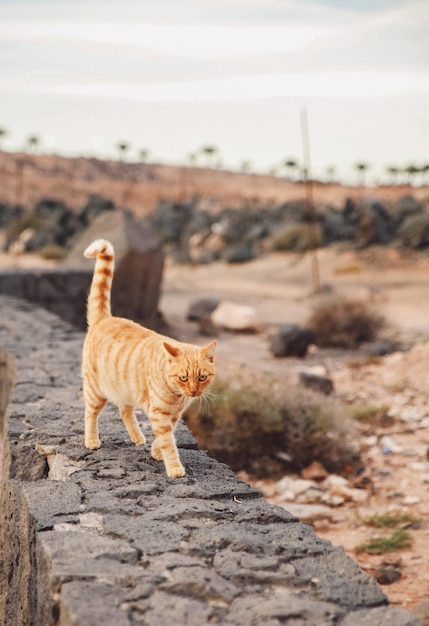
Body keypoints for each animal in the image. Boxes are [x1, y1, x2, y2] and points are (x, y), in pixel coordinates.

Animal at [80, 236, 216, 476]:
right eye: (183, 378)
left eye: (202, 377)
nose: (193, 391)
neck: (177, 396)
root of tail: (105, 318)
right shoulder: (160, 413)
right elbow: (168, 442)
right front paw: (174, 467)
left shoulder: (173, 415)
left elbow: (166, 436)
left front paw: (155, 451)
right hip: (96, 391)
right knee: (90, 414)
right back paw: (92, 440)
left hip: (125, 388)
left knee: (124, 410)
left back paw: (138, 437)